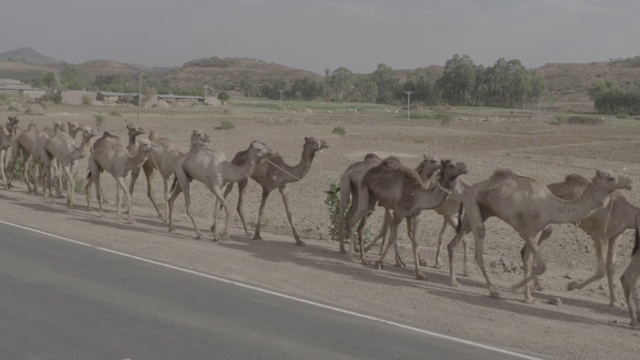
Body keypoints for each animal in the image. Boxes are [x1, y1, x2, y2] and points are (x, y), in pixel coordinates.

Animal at [448, 169, 632, 304]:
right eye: (611, 177)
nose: (630, 181)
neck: (551, 207)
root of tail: (469, 188)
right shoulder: (527, 231)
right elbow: (542, 265)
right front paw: (517, 289)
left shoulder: (535, 233)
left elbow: (528, 261)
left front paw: (528, 296)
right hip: (473, 202)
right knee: (479, 243)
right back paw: (492, 291)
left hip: (480, 210)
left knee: (454, 242)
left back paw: (454, 280)